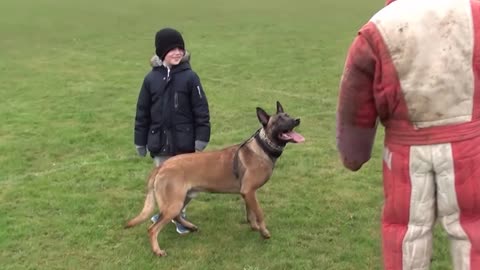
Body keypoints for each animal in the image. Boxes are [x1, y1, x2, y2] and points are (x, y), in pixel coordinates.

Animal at [124, 102, 304, 258]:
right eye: (279, 120)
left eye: (287, 115)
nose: (297, 120)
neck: (263, 147)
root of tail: (162, 166)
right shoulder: (249, 191)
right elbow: (259, 212)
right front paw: (264, 232)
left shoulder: (248, 193)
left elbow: (250, 212)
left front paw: (254, 227)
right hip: (174, 203)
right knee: (153, 229)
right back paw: (157, 250)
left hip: (185, 197)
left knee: (176, 217)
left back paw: (190, 227)